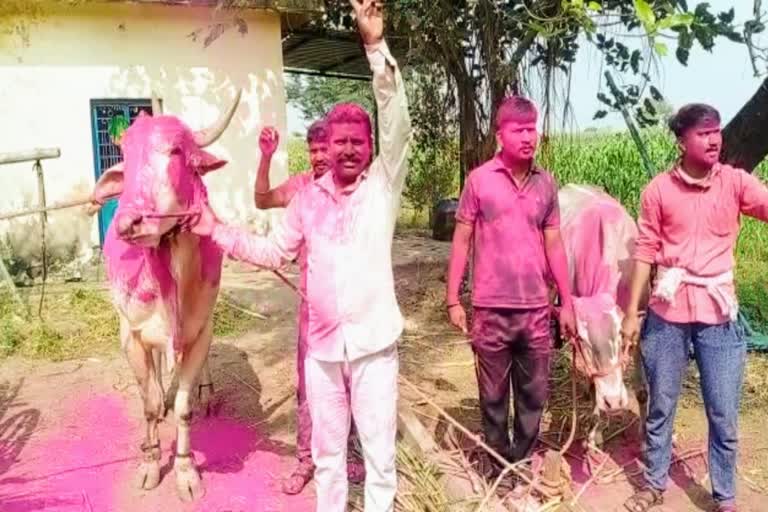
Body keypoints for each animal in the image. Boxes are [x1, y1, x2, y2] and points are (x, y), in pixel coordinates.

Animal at [88, 91, 242, 500]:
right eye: (126, 156)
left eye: (175, 150)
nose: (129, 223)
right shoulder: (131, 335)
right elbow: (149, 404)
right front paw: (150, 462)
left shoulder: (201, 330)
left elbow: (185, 406)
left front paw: (186, 471)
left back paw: (206, 392)